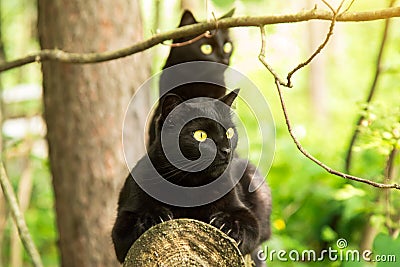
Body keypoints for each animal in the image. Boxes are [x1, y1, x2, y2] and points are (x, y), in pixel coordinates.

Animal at [114, 90, 274, 266]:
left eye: (229, 132)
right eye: (200, 135)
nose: (227, 150)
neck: (190, 187)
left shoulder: (245, 214)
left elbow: (249, 226)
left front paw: (228, 225)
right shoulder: (121, 226)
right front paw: (154, 218)